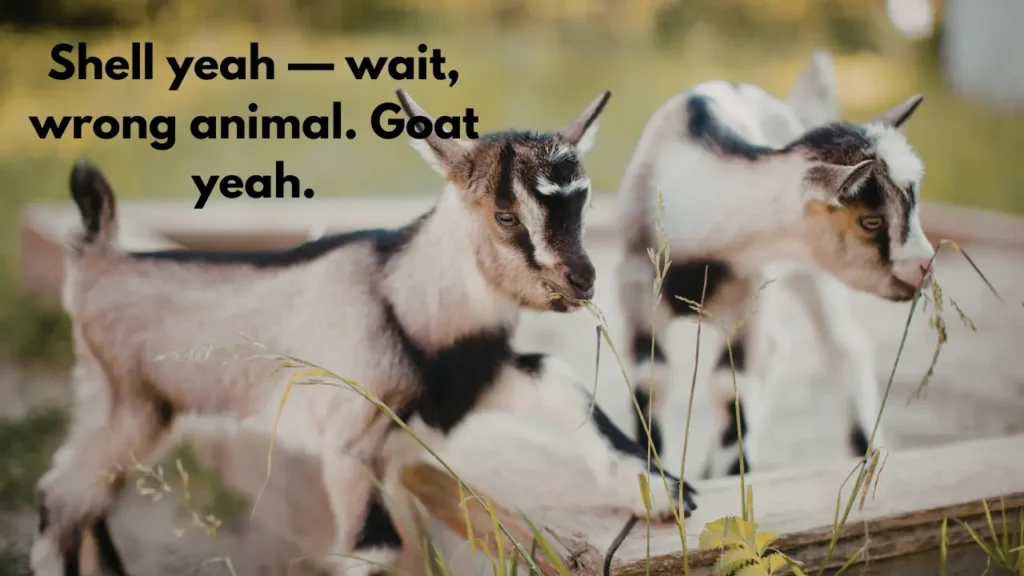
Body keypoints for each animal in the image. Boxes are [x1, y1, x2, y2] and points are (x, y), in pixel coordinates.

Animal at [32, 88, 624, 576]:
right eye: (506, 215)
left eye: (583, 204)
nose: (582, 279)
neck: (404, 296)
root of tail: (97, 257)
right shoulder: (350, 444)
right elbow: (374, 549)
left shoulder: (470, 383)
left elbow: (558, 376)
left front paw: (643, 487)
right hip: (128, 407)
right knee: (59, 498)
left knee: (71, 495)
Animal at [614, 51, 935, 480]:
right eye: (871, 221)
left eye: (913, 204)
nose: (925, 264)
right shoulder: (635, 293)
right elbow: (653, 380)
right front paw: (656, 472)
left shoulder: (748, 300)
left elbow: (729, 387)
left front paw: (729, 476)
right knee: (781, 347)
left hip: (808, 273)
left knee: (841, 347)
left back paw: (866, 451)